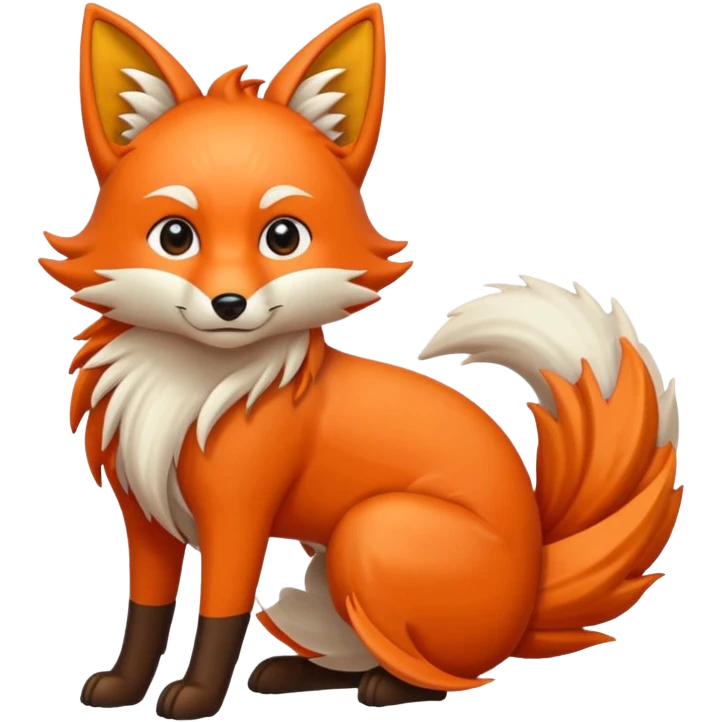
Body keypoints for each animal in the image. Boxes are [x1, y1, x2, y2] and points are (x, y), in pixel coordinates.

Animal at [41, 2, 683, 719]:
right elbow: (144, 616)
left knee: (446, 673)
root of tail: (530, 596)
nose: (229, 304)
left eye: (283, 237)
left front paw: (199, 696)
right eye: (175, 236)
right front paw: (124, 687)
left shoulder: (239, 515)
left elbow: (220, 617)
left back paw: (388, 688)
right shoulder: (146, 517)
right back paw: (291, 673)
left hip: (369, 532)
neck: (191, 386)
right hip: (332, 580)